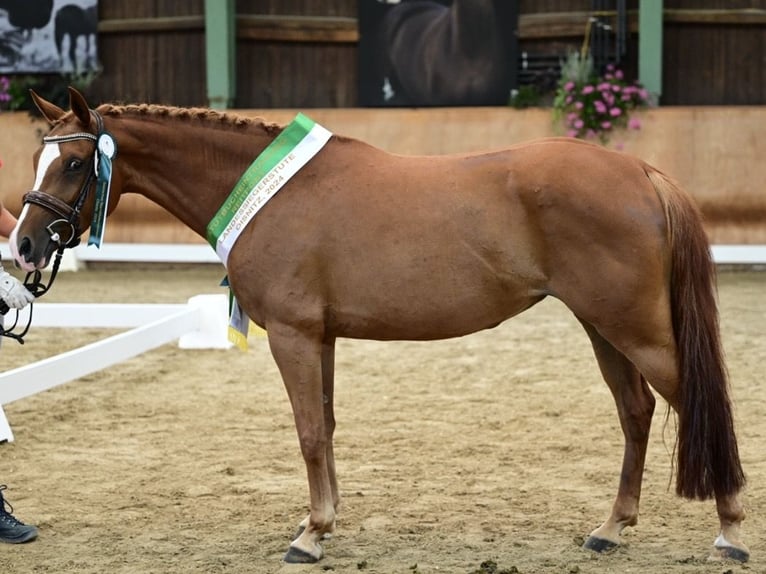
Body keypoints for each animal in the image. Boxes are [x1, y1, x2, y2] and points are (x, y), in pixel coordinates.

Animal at [10, 88, 749, 564]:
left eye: (73, 163)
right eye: (38, 158)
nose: (23, 246)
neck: (272, 193)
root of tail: (642, 171)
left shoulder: (293, 335)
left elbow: (309, 433)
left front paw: (310, 535)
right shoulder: (322, 336)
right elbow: (328, 427)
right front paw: (325, 522)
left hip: (635, 328)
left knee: (696, 404)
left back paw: (731, 530)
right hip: (603, 326)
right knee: (636, 412)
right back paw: (611, 528)